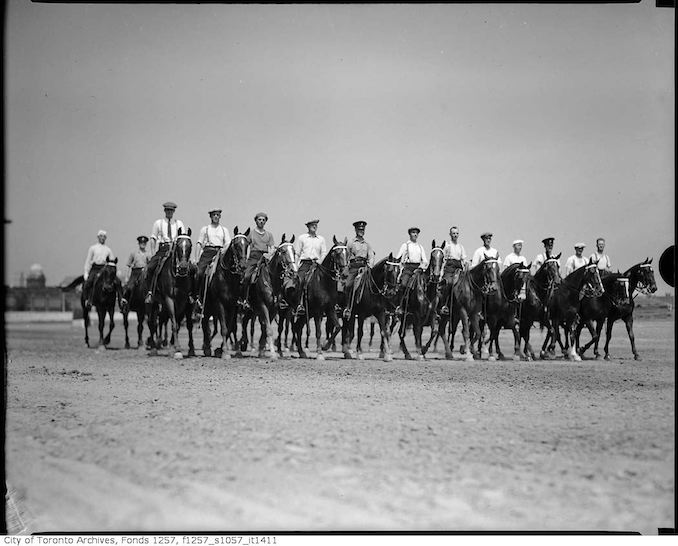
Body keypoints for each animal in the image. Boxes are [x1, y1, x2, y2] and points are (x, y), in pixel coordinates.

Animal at [145, 228, 195, 356]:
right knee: (152, 323)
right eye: (178, 245)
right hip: (153, 303)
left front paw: (177, 347)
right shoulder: (169, 299)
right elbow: (173, 321)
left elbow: (178, 324)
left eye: (190, 245)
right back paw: (153, 348)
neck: (177, 278)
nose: (183, 268)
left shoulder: (183, 302)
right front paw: (176, 348)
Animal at [203, 227, 254, 360]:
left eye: (247, 244)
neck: (227, 277)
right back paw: (206, 347)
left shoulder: (232, 305)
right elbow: (224, 329)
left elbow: (230, 327)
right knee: (206, 324)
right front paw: (225, 352)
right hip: (207, 306)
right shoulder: (220, 304)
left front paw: (222, 349)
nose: (243, 266)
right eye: (235, 245)